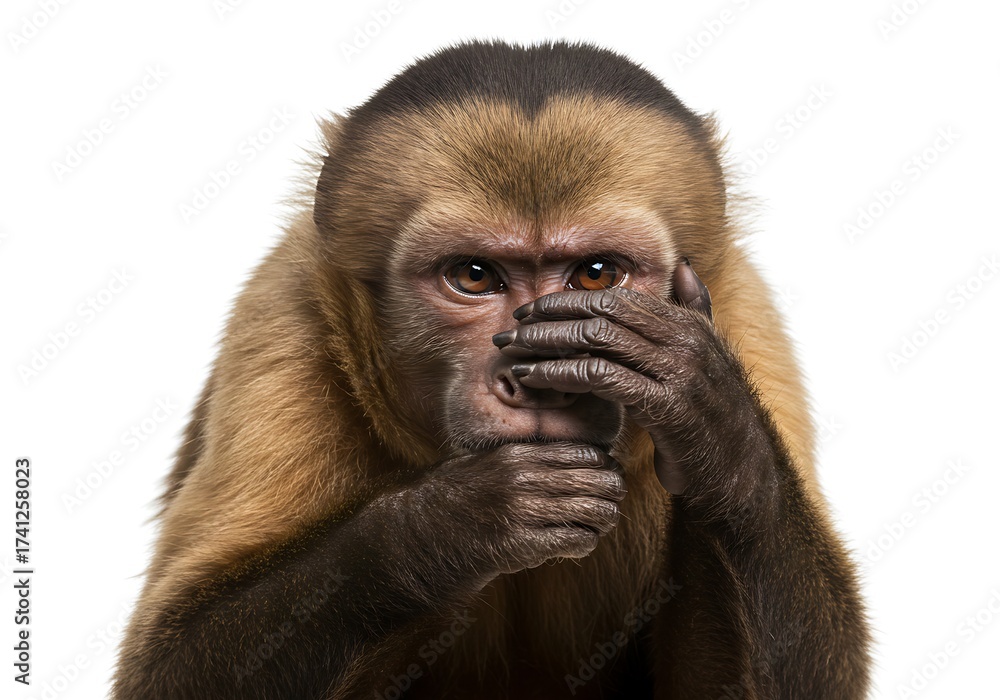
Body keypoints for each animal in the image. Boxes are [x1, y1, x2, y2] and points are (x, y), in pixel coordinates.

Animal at [114, 40, 871, 699]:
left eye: (597, 274)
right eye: (474, 276)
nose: (532, 378)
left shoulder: (738, 313)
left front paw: (707, 420)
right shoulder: (284, 314)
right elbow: (166, 665)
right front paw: (454, 526)